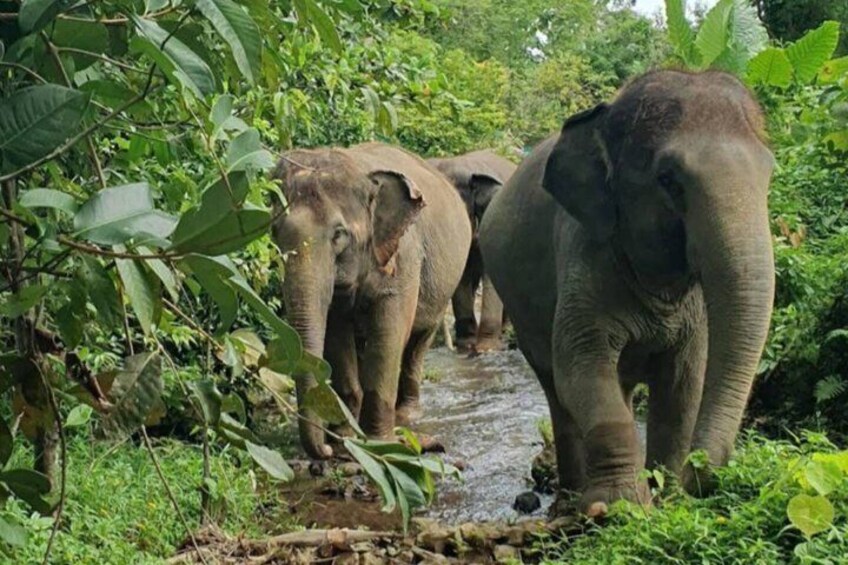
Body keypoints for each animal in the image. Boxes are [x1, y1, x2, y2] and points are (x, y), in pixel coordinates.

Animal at [271, 142, 472, 459]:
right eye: (274, 231)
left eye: (338, 235)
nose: (324, 450)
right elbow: (337, 334)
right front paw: (344, 438)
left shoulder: (403, 257)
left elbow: (388, 337)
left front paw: (377, 443)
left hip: (442, 285)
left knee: (417, 344)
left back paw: (407, 415)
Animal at [479, 70, 775, 515]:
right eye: (668, 180)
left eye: (769, 173)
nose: (699, 474)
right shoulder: (583, 252)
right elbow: (582, 368)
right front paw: (619, 506)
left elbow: (684, 384)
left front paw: (668, 498)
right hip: (519, 307)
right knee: (555, 389)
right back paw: (569, 502)